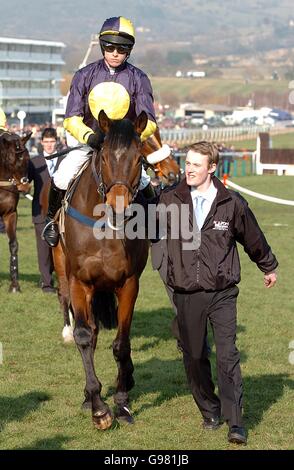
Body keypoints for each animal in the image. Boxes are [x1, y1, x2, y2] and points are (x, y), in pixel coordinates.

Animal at [54, 111, 180, 430]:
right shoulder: (79, 282)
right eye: (105, 156)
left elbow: (122, 344)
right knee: (90, 332)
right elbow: (84, 337)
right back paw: (89, 397)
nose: (119, 208)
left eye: (137, 159)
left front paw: (121, 404)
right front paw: (99, 407)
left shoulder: (128, 283)